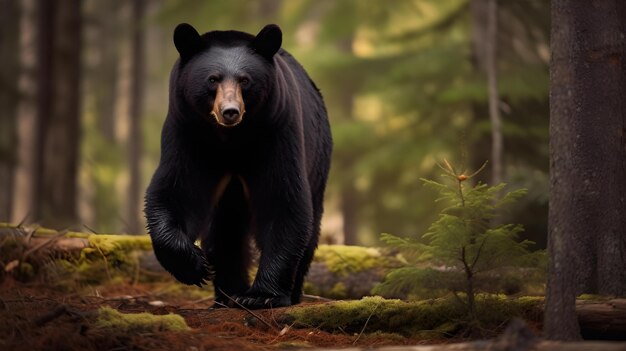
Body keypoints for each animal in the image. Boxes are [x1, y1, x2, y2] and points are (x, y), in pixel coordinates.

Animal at [144, 24, 332, 310]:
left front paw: (262, 295)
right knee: (224, 231)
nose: (230, 111)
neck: (231, 140)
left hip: (318, 157)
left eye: (245, 80)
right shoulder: (188, 133)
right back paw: (228, 294)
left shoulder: (276, 132)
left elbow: (282, 201)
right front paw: (194, 266)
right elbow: (177, 192)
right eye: (212, 79)